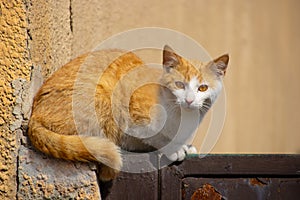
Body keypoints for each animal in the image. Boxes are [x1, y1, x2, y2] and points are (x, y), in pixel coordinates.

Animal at [28, 45, 230, 181]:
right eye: (179, 84)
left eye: (202, 88)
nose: (189, 100)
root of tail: (34, 116)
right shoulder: (134, 119)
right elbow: (155, 136)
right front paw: (174, 148)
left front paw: (184, 146)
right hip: (101, 97)